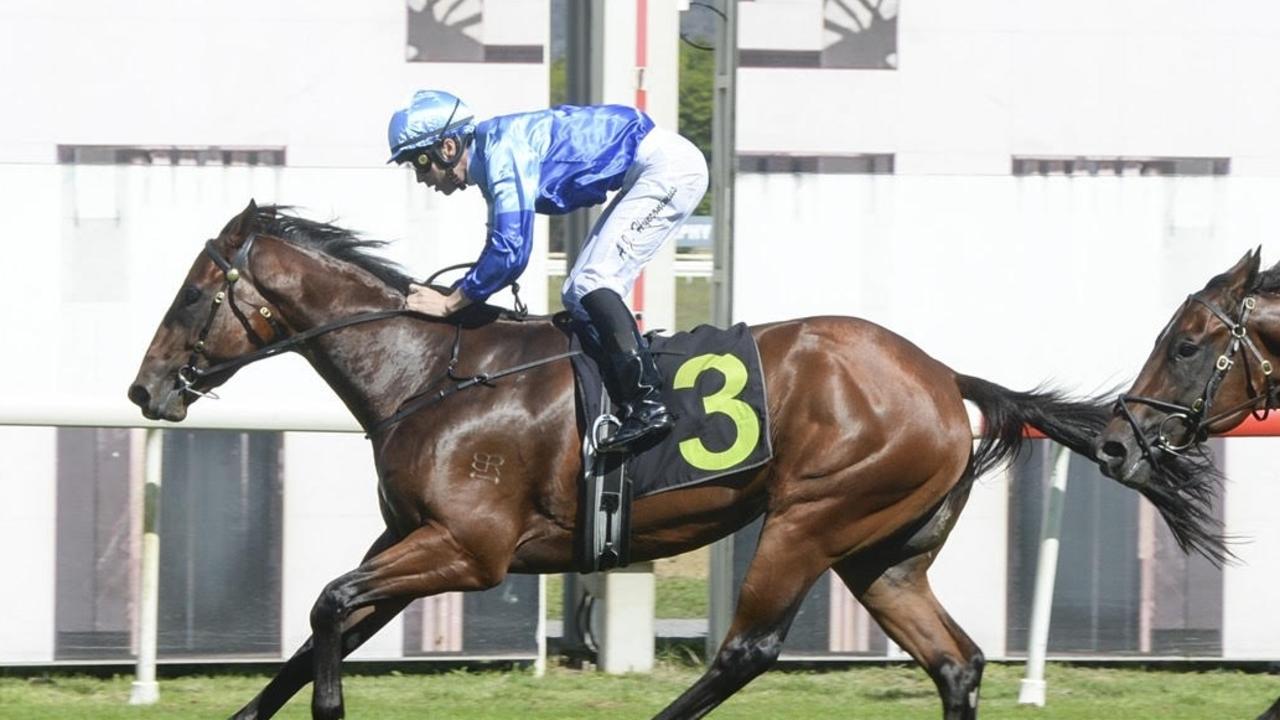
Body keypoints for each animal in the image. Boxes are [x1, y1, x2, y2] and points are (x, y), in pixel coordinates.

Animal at [129, 202, 1208, 717]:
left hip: (812, 517)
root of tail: (946, 379)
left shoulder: (469, 549)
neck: (431, 369)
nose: (145, 391)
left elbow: (327, 608)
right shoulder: (412, 537)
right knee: (956, 662)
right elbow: (329, 619)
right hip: (884, 552)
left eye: (189, 296)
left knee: (746, 651)